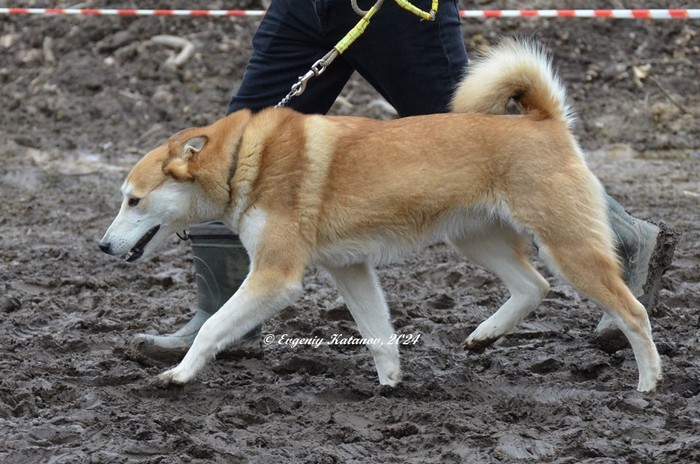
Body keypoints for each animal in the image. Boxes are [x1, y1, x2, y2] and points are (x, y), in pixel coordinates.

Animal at [99, 39, 661, 392]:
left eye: (133, 200)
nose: (103, 246)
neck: (244, 161)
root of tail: (544, 120)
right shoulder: (349, 268)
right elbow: (378, 333)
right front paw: (390, 385)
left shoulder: (276, 276)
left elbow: (214, 327)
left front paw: (178, 375)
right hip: (474, 240)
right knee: (534, 287)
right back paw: (486, 334)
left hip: (567, 248)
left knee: (633, 312)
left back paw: (648, 382)